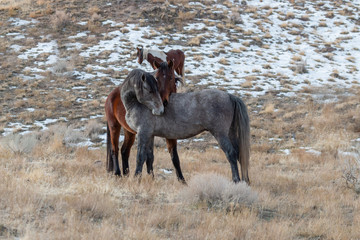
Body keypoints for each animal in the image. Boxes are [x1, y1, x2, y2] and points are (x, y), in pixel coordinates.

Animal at [121, 62, 250, 184]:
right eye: (149, 89)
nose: (160, 110)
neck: (136, 104)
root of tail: (229, 96)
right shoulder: (150, 135)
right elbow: (149, 158)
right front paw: (150, 179)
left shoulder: (143, 133)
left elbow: (140, 157)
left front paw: (136, 179)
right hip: (230, 133)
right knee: (239, 154)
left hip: (221, 134)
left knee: (231, 154)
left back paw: (236, 180)